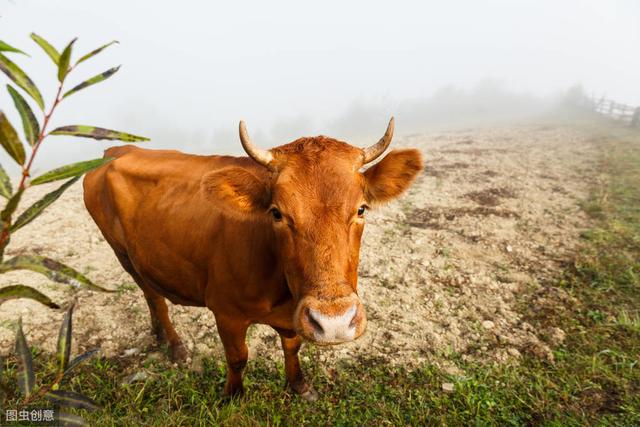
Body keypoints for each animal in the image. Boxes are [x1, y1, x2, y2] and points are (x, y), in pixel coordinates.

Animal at [82, 118, 422, 400]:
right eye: (277, 213)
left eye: (361, 208)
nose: (333, 322)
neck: (280, 289)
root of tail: (118, 149)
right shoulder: (226, 313)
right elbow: (237, 358)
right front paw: (233, 396)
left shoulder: (292, 316)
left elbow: (292, 347)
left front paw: (299, 386)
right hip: (123, 253)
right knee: (154, 296)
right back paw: (176, 346)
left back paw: (158, 335)